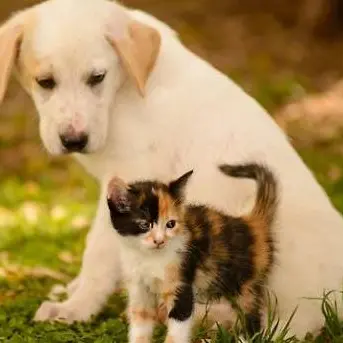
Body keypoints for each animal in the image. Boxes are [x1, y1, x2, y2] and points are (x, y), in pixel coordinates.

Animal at [106, 164, 278, 343]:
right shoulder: (139, 289)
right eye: (145, 224)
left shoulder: (182, 282)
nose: (159, 241)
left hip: (245, 284)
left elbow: (177, 329)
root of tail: (251, 222)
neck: (149, 257)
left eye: (171, 224)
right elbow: (140, 323)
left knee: (250, 314)